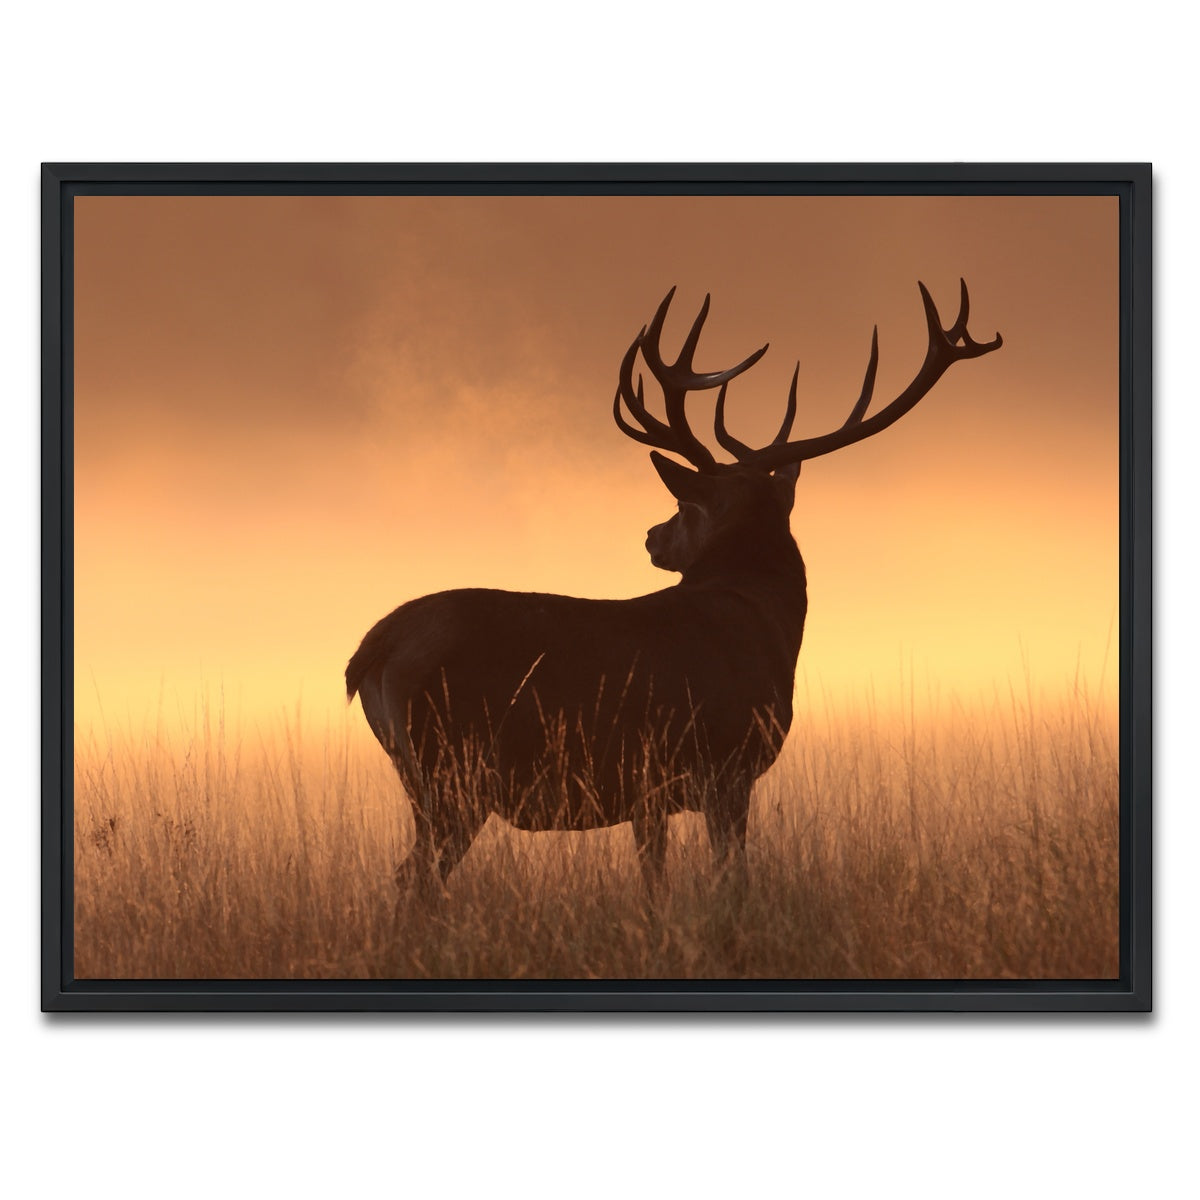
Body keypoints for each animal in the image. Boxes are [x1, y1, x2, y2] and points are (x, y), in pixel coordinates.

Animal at [346, 282, 1001, 899]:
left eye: (684, 509)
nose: (651, 537)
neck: (766, 625)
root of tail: (370, 651)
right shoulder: (726, 765)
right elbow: (731, 877)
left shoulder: (649, 792)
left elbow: (654, 882)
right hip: (452, 770)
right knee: (413, 879)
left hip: (434, 777)